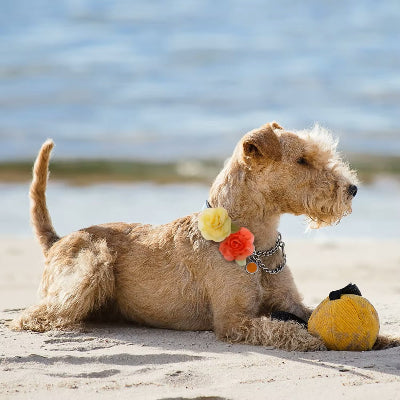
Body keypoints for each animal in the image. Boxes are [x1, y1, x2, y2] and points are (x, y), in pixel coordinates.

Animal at [10, 121, 398, 350]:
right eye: (302, 160)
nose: (352, 189)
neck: (256, 244)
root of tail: (56, 241)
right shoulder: (232, 320)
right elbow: (286, 329)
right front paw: (310, 339)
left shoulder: (289, 302)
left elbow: (310, 312)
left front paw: (384, 336)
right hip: (93, 262)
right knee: (32, 316)